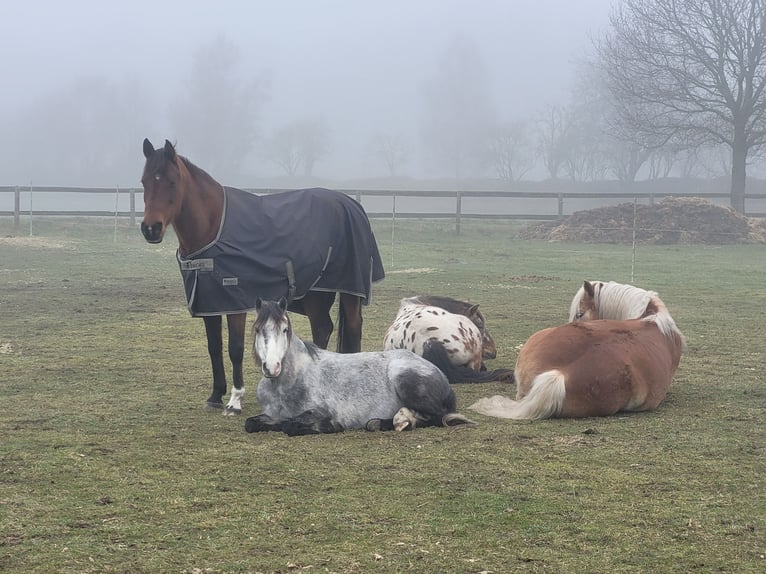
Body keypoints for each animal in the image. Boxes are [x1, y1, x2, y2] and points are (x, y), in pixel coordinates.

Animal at [140, 142, 384, 416]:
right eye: (144, 182)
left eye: (171, 182)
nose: (150, 228)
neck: (213, 228)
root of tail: (353, 205)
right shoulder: (209, 302)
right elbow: (214, 347)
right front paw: (215, 395)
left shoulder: (235, 302)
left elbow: (235, 349)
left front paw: (235, 401)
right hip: (316, 292)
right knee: (322, 327)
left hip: (349, 290)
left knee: (352, 326)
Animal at [246, 302, 476, 436]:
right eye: (257, 329)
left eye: (285, 330)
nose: (272, 367)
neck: (289, 383)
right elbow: (252, 423)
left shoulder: (320, 411)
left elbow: (291, 425)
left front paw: (331, 426)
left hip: (404, 379)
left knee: (438, 417)